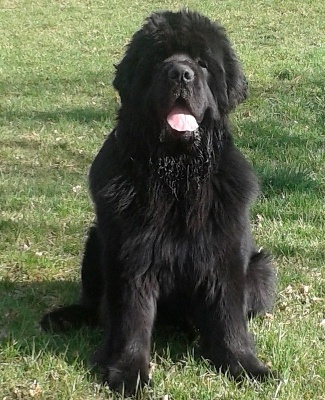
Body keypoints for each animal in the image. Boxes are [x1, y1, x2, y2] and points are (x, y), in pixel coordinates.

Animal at [41, 8, 278, 394]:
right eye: (157, 60)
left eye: (202, 63)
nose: (180, 73)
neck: (176, 175)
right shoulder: (130, 256)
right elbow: (130, 320)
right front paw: (128, 373)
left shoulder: (224, 255)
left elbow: (229, 318)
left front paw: (245, 366)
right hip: (96, 242)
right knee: (95, 305)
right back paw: (65, 317)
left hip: (261, 268)